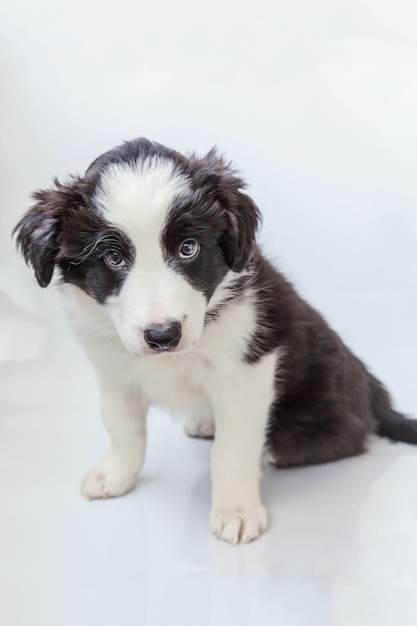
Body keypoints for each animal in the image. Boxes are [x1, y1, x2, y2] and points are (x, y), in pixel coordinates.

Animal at [13, 136, 416, 540]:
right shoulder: (113, 370)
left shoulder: (246, 373)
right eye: (112, 257)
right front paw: (114, 474)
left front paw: (237, 509)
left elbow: (232, 449)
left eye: (188, 248)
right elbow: (123, 428)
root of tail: (373, 391)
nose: (163, 335)